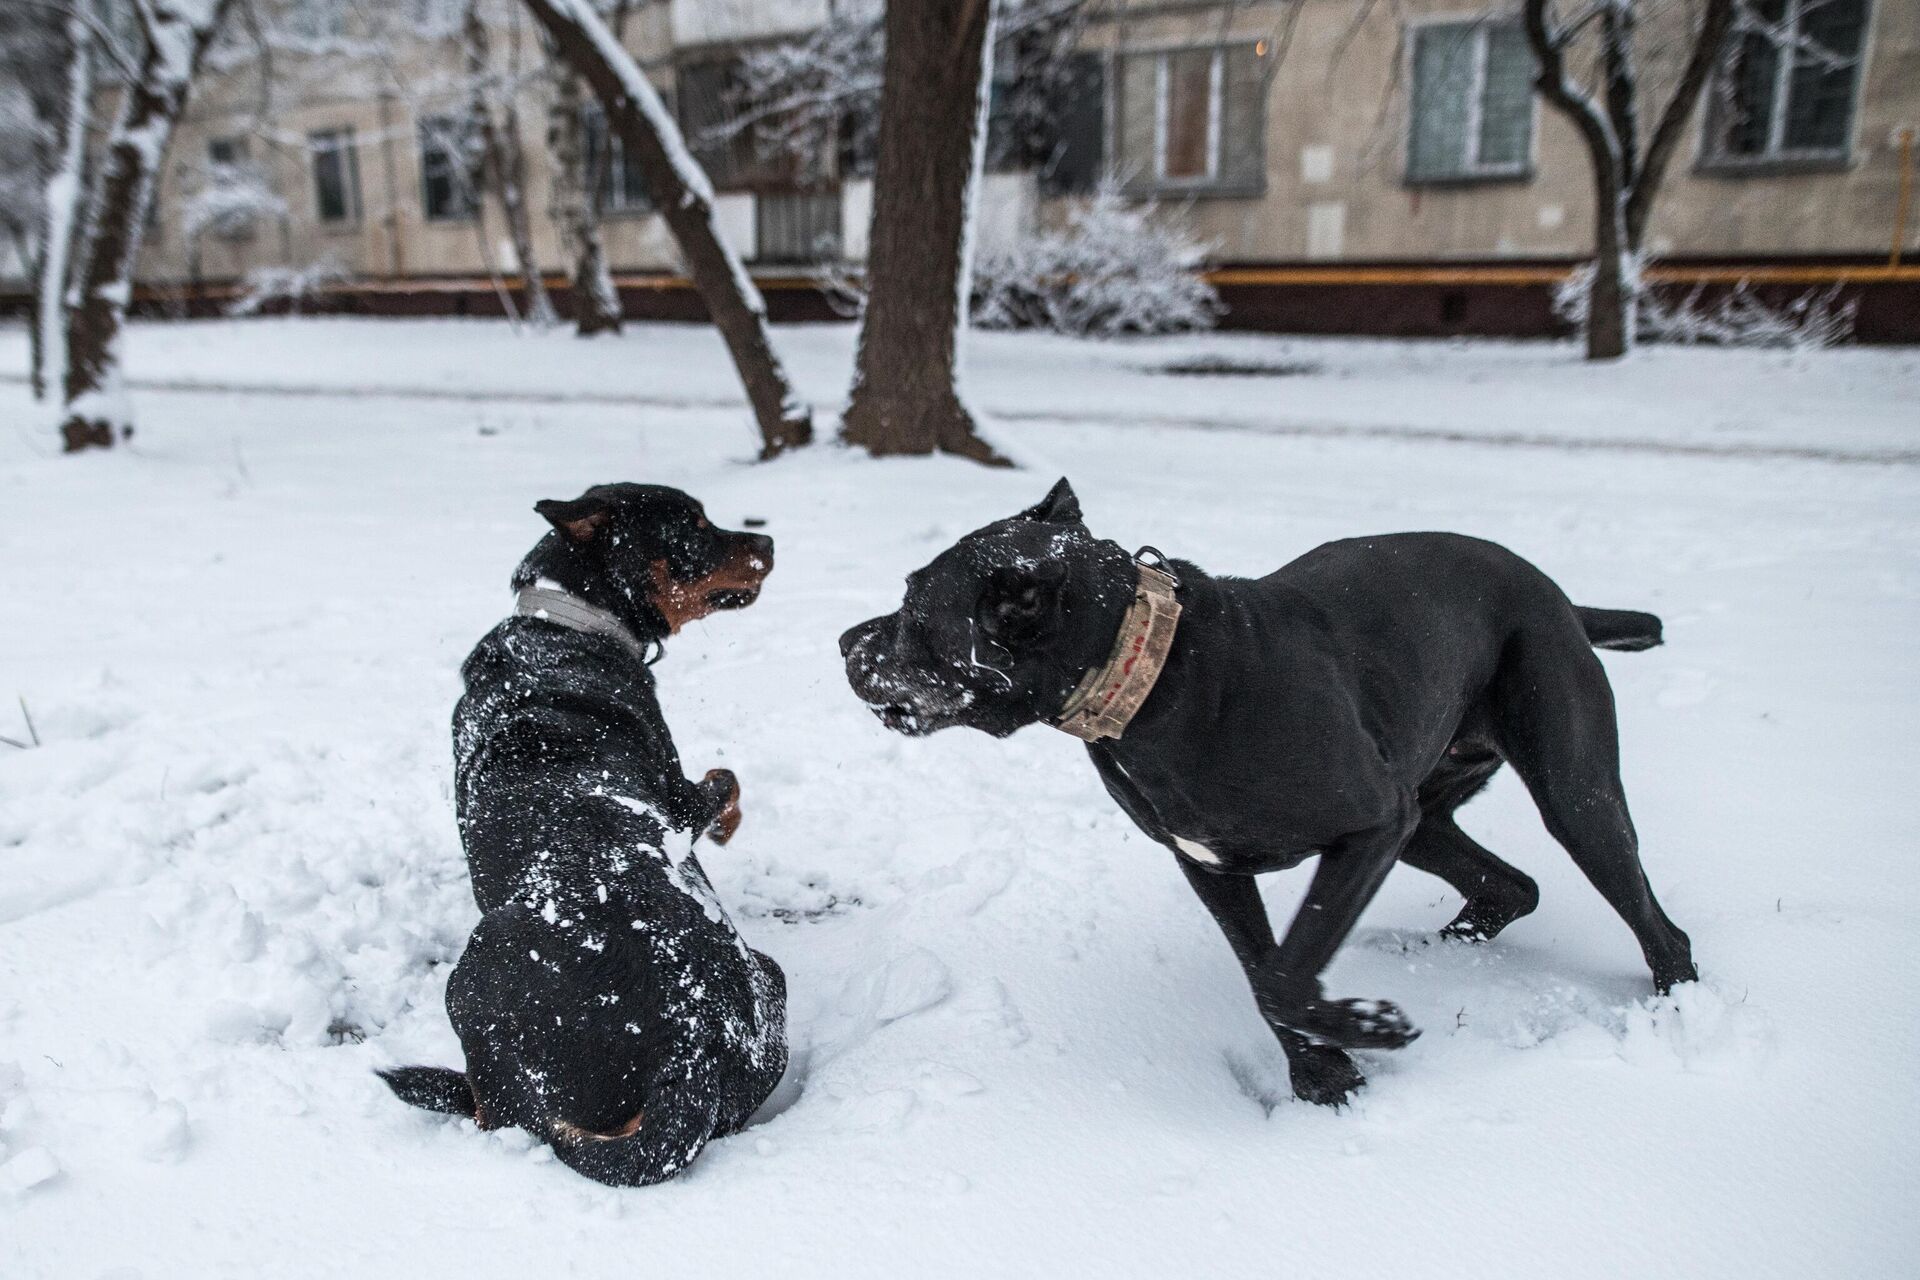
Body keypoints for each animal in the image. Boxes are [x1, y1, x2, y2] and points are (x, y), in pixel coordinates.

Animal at [382, 485, 787, 1189]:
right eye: (693, 525)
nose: (766, 541)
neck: (567, 625)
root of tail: (692, 1055)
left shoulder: (680, 798)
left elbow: (724, 780)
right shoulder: (680, 798)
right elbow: (725, 779)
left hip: (471, 978)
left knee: (502, 1111)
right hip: (770, 974)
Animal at [840, 479, 1697, 1113]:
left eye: (915, 609)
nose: (845, 640)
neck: (1154, 673)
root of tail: (1561, 599)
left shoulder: (1367, 826)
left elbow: (1287, 975)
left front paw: (1370, 1028)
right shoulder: (1213, 865)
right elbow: (1265, 972)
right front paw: (1324, 1075)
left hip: (1570, 794)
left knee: (1659, 928)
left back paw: (1680, 1015)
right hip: (1423, 816)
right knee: (1511, 886)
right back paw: (1438, 953)